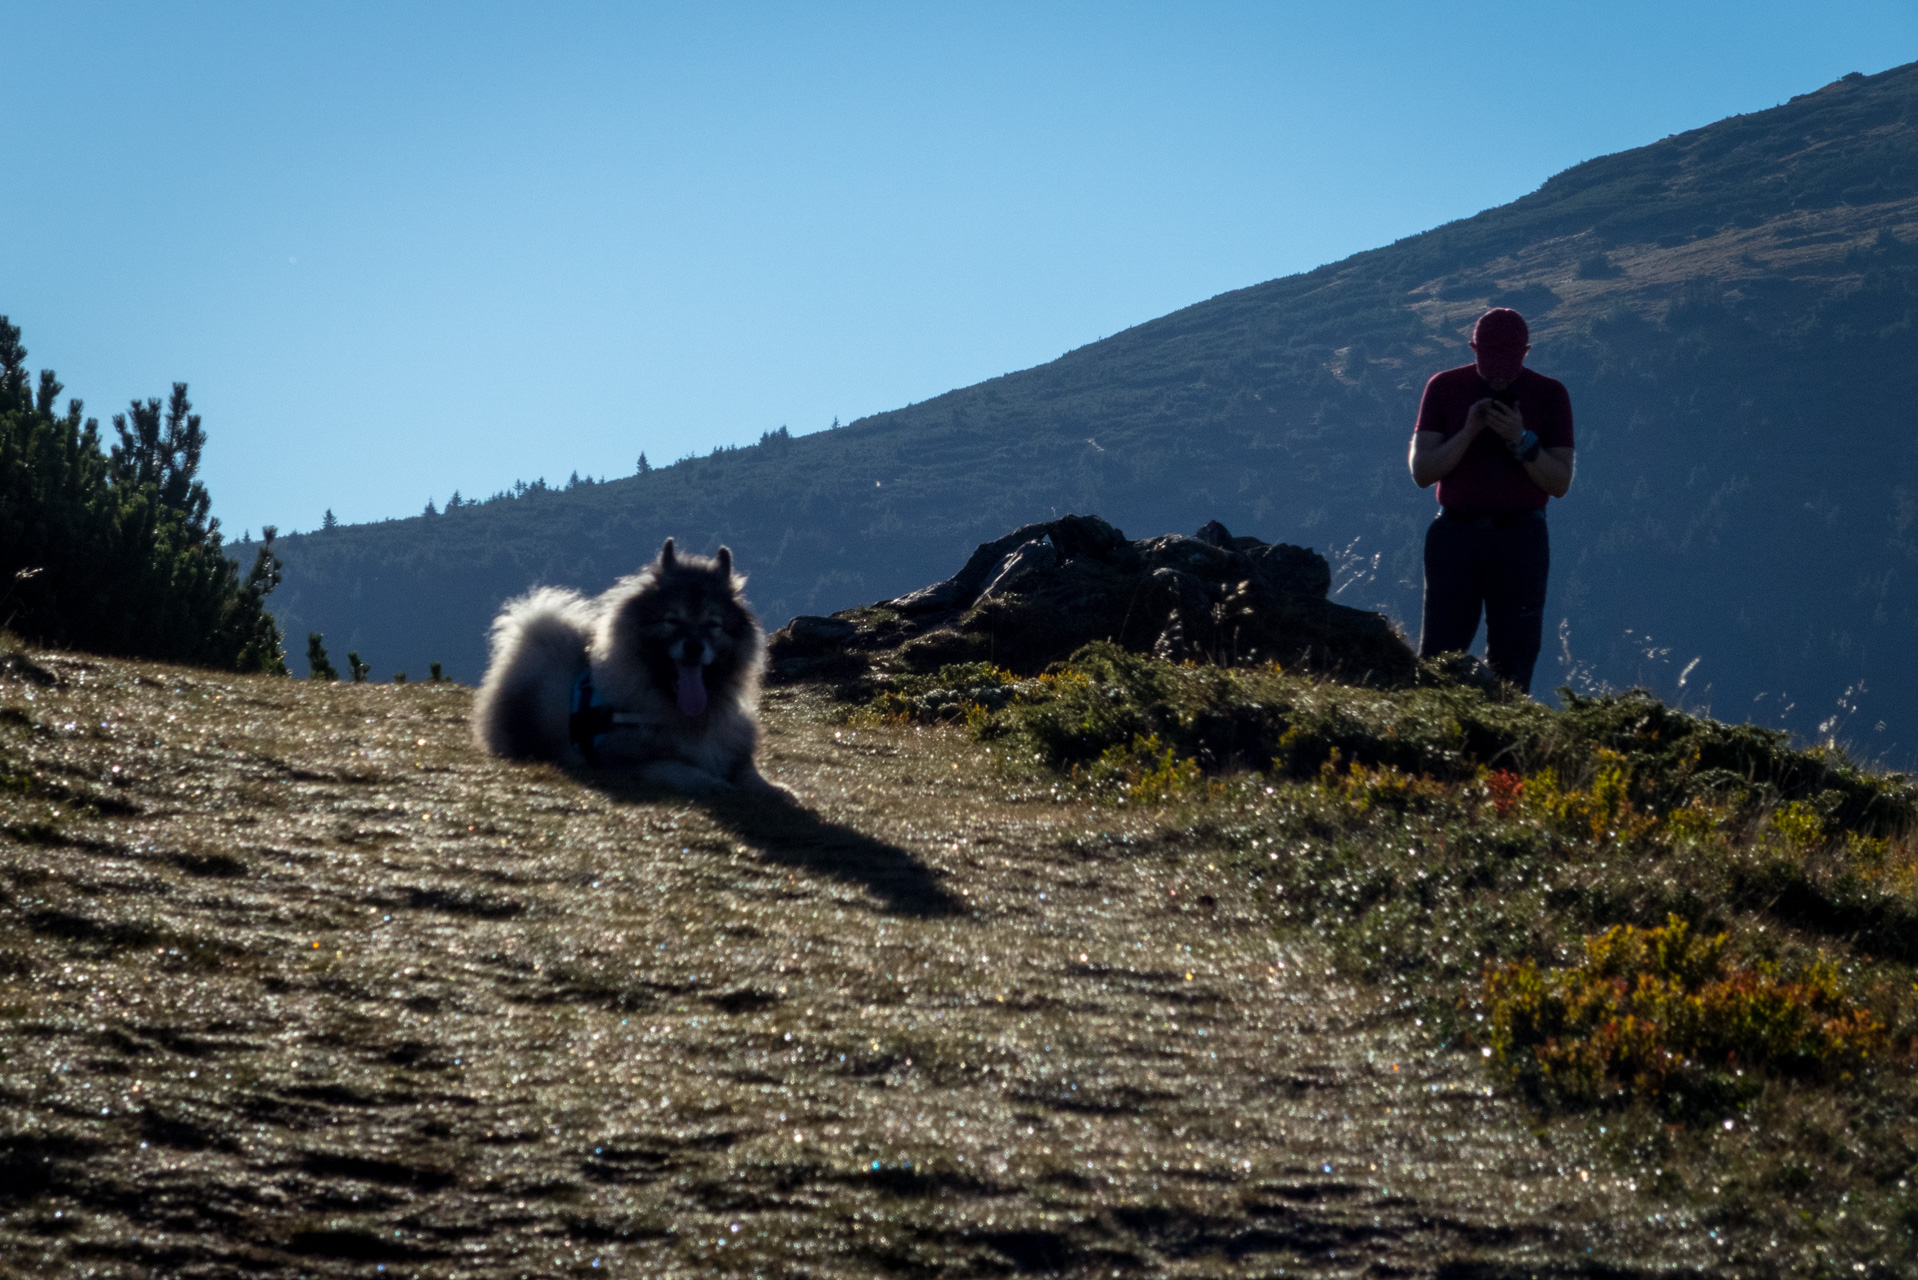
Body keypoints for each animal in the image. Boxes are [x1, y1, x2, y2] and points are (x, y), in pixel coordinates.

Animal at [471, 537, 778, 794]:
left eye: (713, 624)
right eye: (672, 620)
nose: (694, 647)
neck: (689, 715)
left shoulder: (734, 749)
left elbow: (751, 774)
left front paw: (775, 789)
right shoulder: (620, 765)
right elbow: (675, 768)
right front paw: (713, 783)